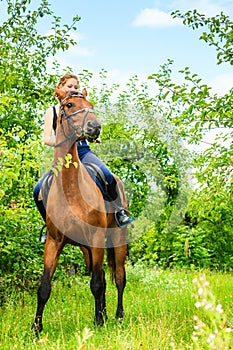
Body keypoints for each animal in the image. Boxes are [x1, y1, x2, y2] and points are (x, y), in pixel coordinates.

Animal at [31, 88, 127, 334]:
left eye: (91, 105)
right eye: (70, 104)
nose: (95, 127)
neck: (70, 188)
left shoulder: (96, 238)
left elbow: (97, 283)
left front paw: (98, 322)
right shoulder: (54, 241)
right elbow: (44, 287)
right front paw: (36, 329)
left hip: (116, 241)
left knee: (119, 278)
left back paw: (118, 316)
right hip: (86, 249)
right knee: (103, 276)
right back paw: (105, 313)